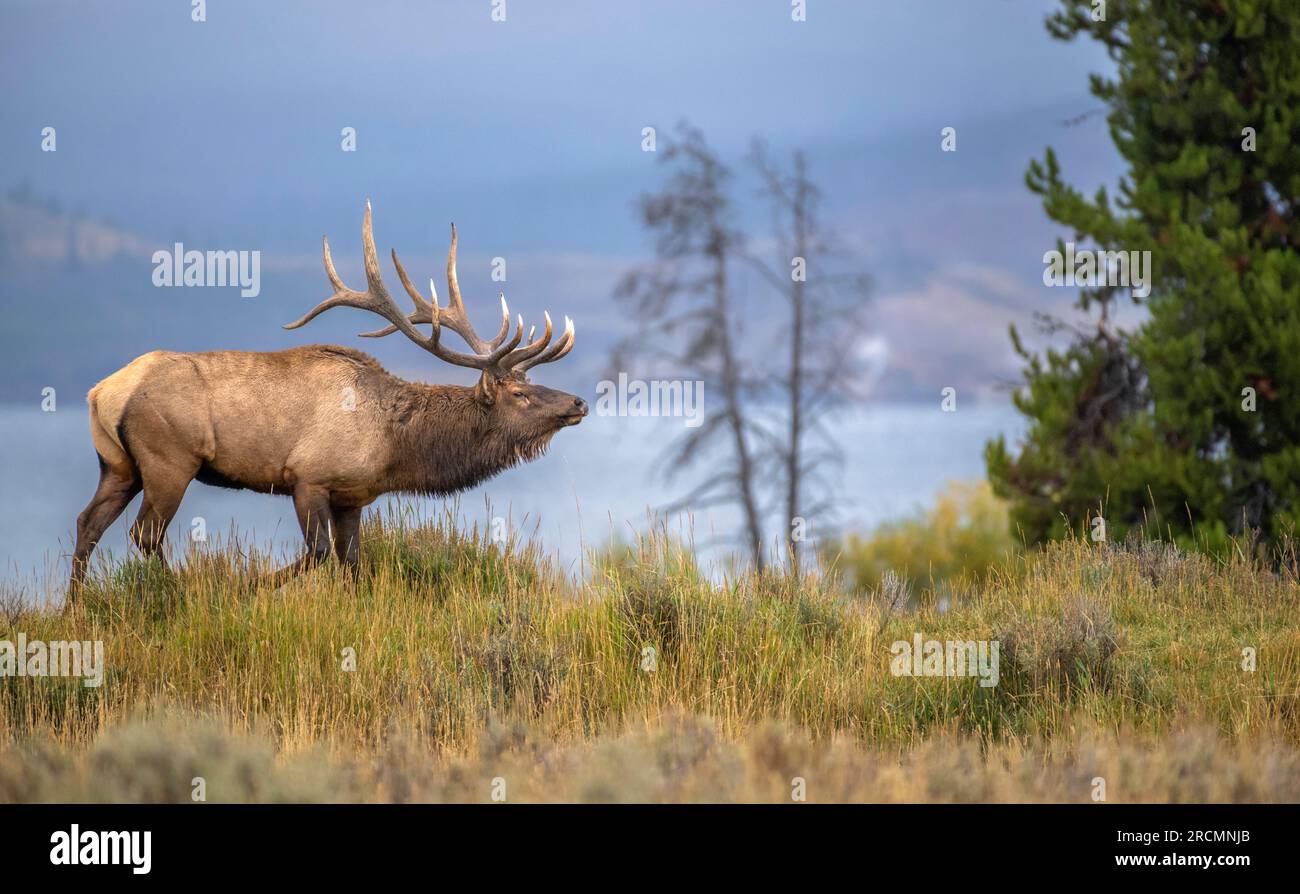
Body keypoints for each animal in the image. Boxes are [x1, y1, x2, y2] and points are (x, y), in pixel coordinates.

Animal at [65, 201, 585, 592]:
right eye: (519, 392)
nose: (577, 403)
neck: (394, 448)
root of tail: (102, 392)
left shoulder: (353, 497)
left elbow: (352, 563)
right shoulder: (308, 476)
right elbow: (317, 553)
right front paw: (246, 586)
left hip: (118, 464)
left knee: (88, 523)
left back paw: (75, 606)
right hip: (169, 459)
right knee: (145, 533)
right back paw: (181, 591)